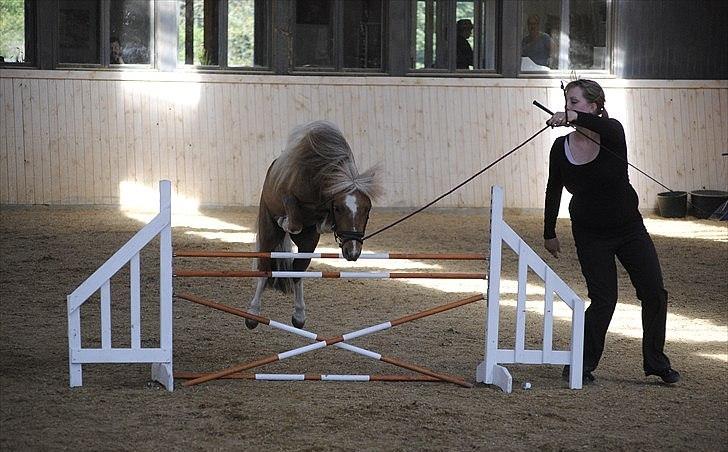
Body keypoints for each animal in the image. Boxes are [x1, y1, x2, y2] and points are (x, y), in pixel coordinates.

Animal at [246, 120, 382, 328]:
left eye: (367, 209)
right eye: (339, 208)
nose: (352, 252)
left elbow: (320, 225)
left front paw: (323, 224)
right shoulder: (289, 198)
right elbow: (293, 223)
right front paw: (284, 221)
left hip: (308, 244)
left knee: (297, 271)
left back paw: (299, 316)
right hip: (269, 232)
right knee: (265, 268)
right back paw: (253, 313)